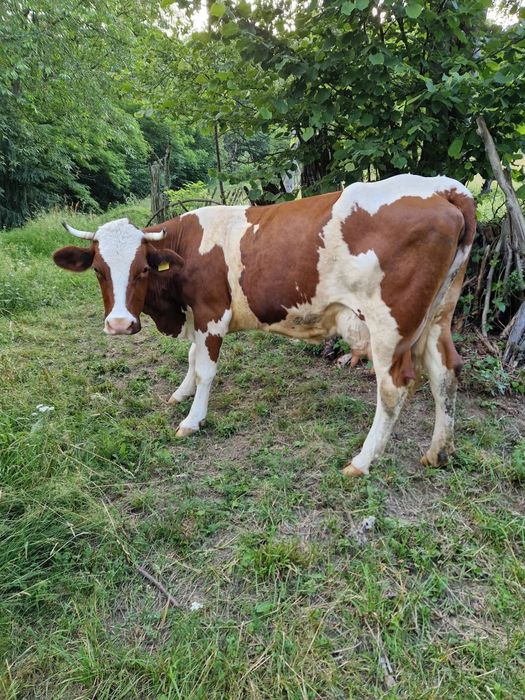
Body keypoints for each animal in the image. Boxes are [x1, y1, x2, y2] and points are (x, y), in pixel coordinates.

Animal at [53, 174, 476, 477]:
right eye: (99, 270)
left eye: (142, 269)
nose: (119, 324)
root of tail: (443, 187)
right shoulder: (195, 317)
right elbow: (191, 357)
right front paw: (180, 393)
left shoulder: (211, 313)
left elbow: (205, 369)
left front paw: (192, 419)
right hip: (439, 315)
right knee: (445, 371)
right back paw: (438, 452)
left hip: (390, 326)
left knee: (394, 387)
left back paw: (362, 461)